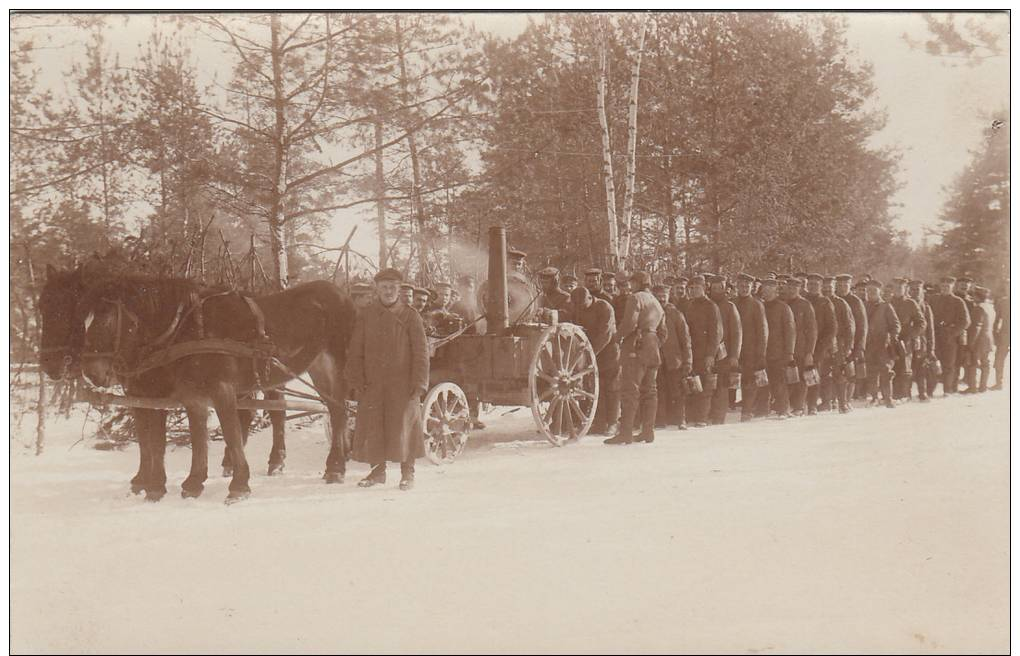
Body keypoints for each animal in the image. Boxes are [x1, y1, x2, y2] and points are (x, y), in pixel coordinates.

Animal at [39, 267, 357, 503]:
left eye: (104, 321)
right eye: (80, 319)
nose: (91, 372)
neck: (184, 330)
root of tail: (342, 293)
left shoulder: (218, 390)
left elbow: (223, 432)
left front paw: (238, 486)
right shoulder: (175, 395)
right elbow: (185, 437)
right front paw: (183, 483)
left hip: (332, 365)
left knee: (337, 410)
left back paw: (335, 466)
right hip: (306, 367)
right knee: (310, 409)